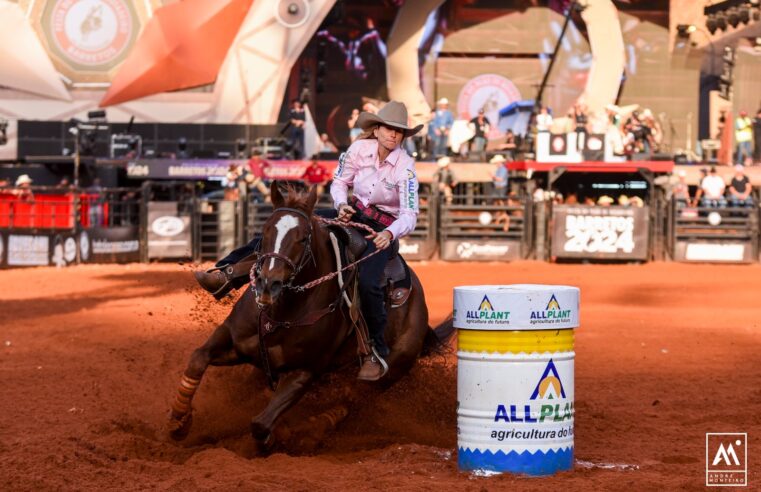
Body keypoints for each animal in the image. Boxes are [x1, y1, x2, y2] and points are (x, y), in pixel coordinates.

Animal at [166, 183, 452, 448]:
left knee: (350, 400)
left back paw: (313, 429)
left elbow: (260, 423)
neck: (281, 310)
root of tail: (421, 311)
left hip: (387, 373)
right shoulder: (233, 340)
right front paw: (178, 423)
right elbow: (197, 359)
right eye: (265, 231)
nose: (268, 284)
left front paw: (275, 437)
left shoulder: (304, 372)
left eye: (303, 238)